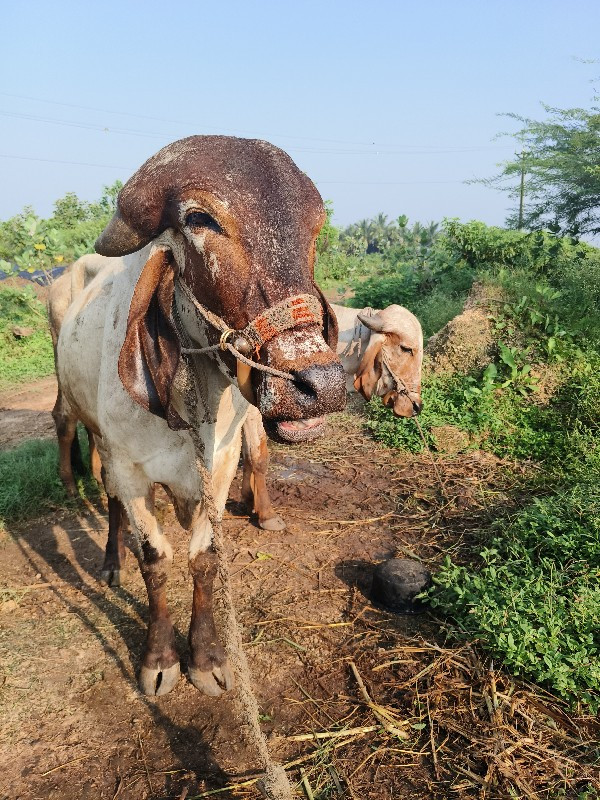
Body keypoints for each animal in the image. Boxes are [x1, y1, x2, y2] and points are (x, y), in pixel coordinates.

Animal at [57, 136, 346, 692]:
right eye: (199, 218)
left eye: (314, 226)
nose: (318, 387)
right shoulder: (130, 470)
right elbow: (155, 560)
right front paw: (160, 659)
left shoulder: (221, 466)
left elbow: (204, 558)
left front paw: (207, 657)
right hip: (96, 435)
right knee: (107, 495)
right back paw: (110, 562)